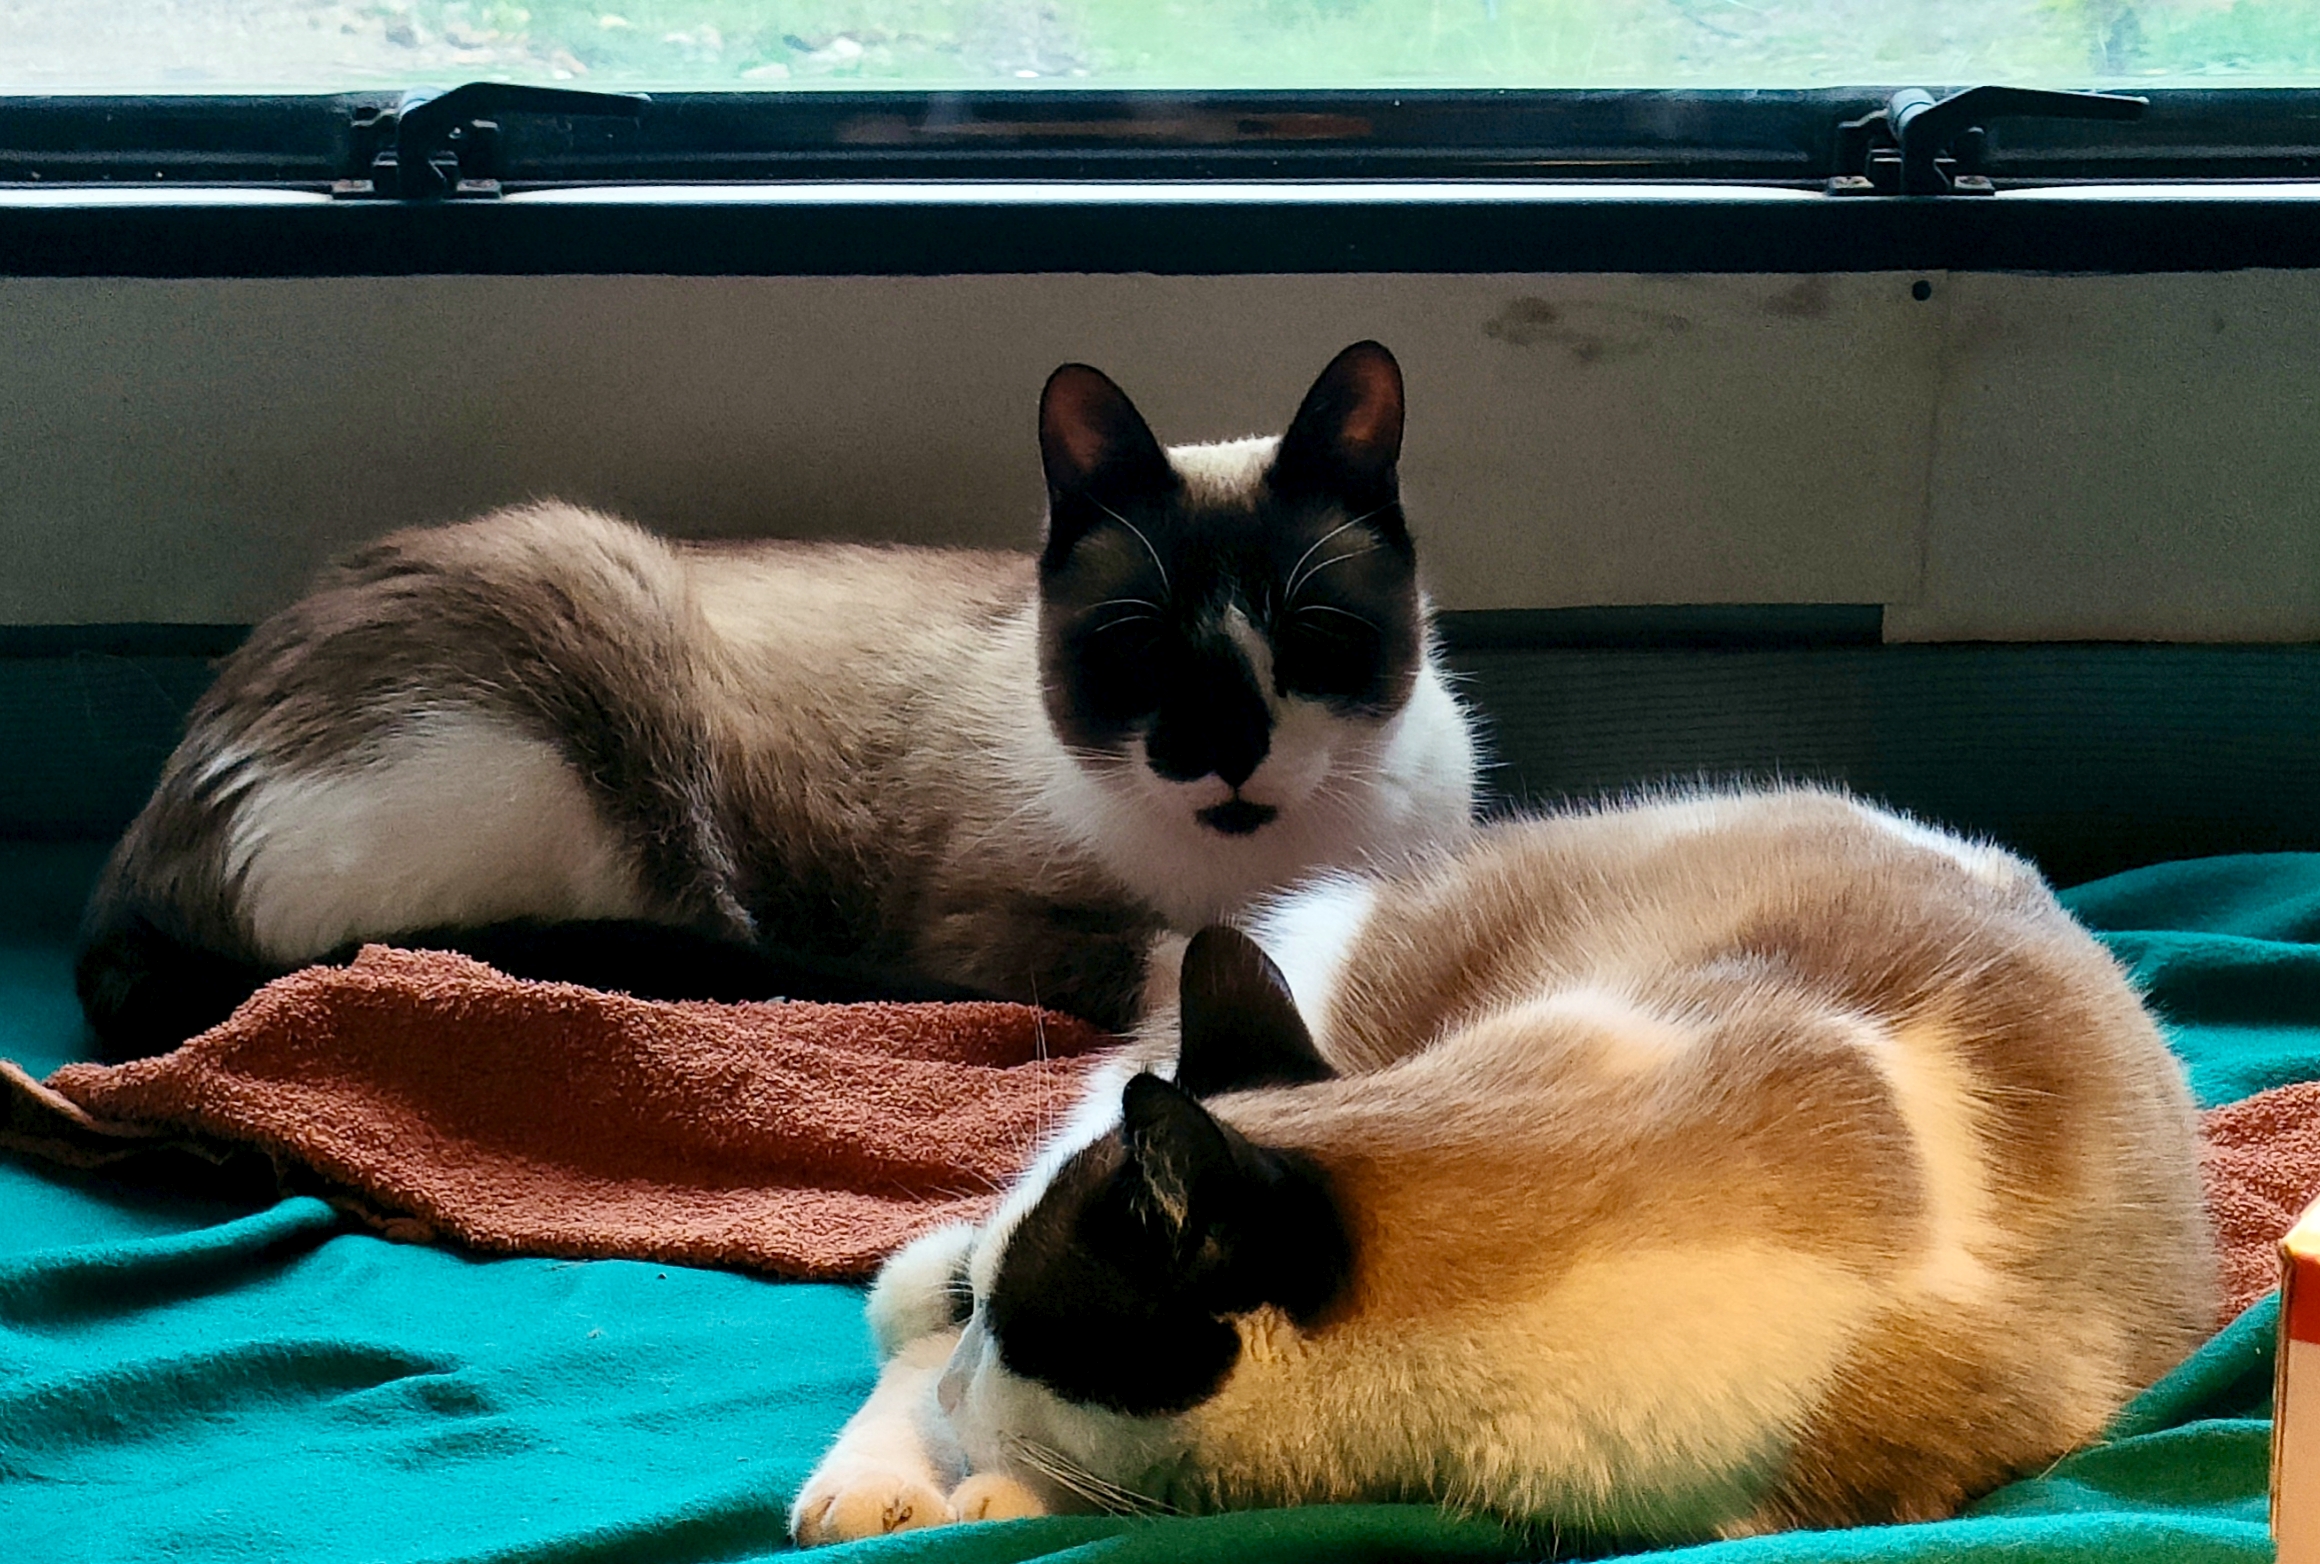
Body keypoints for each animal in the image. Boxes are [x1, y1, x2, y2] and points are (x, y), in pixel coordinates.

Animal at [76, 341, 1478, 1058]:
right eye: (1137, 652)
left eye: (1311, 639)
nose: (1224, 749)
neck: (1258, 859)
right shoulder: (990, 930)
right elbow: (1197, 947)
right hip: (603, 674)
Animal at [791, 787, 2217, 1547]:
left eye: (1032, 1332)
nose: (975, 1383)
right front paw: (968, 1478)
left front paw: (1004, 1486)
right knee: (902, 1339)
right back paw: (871, 1496)